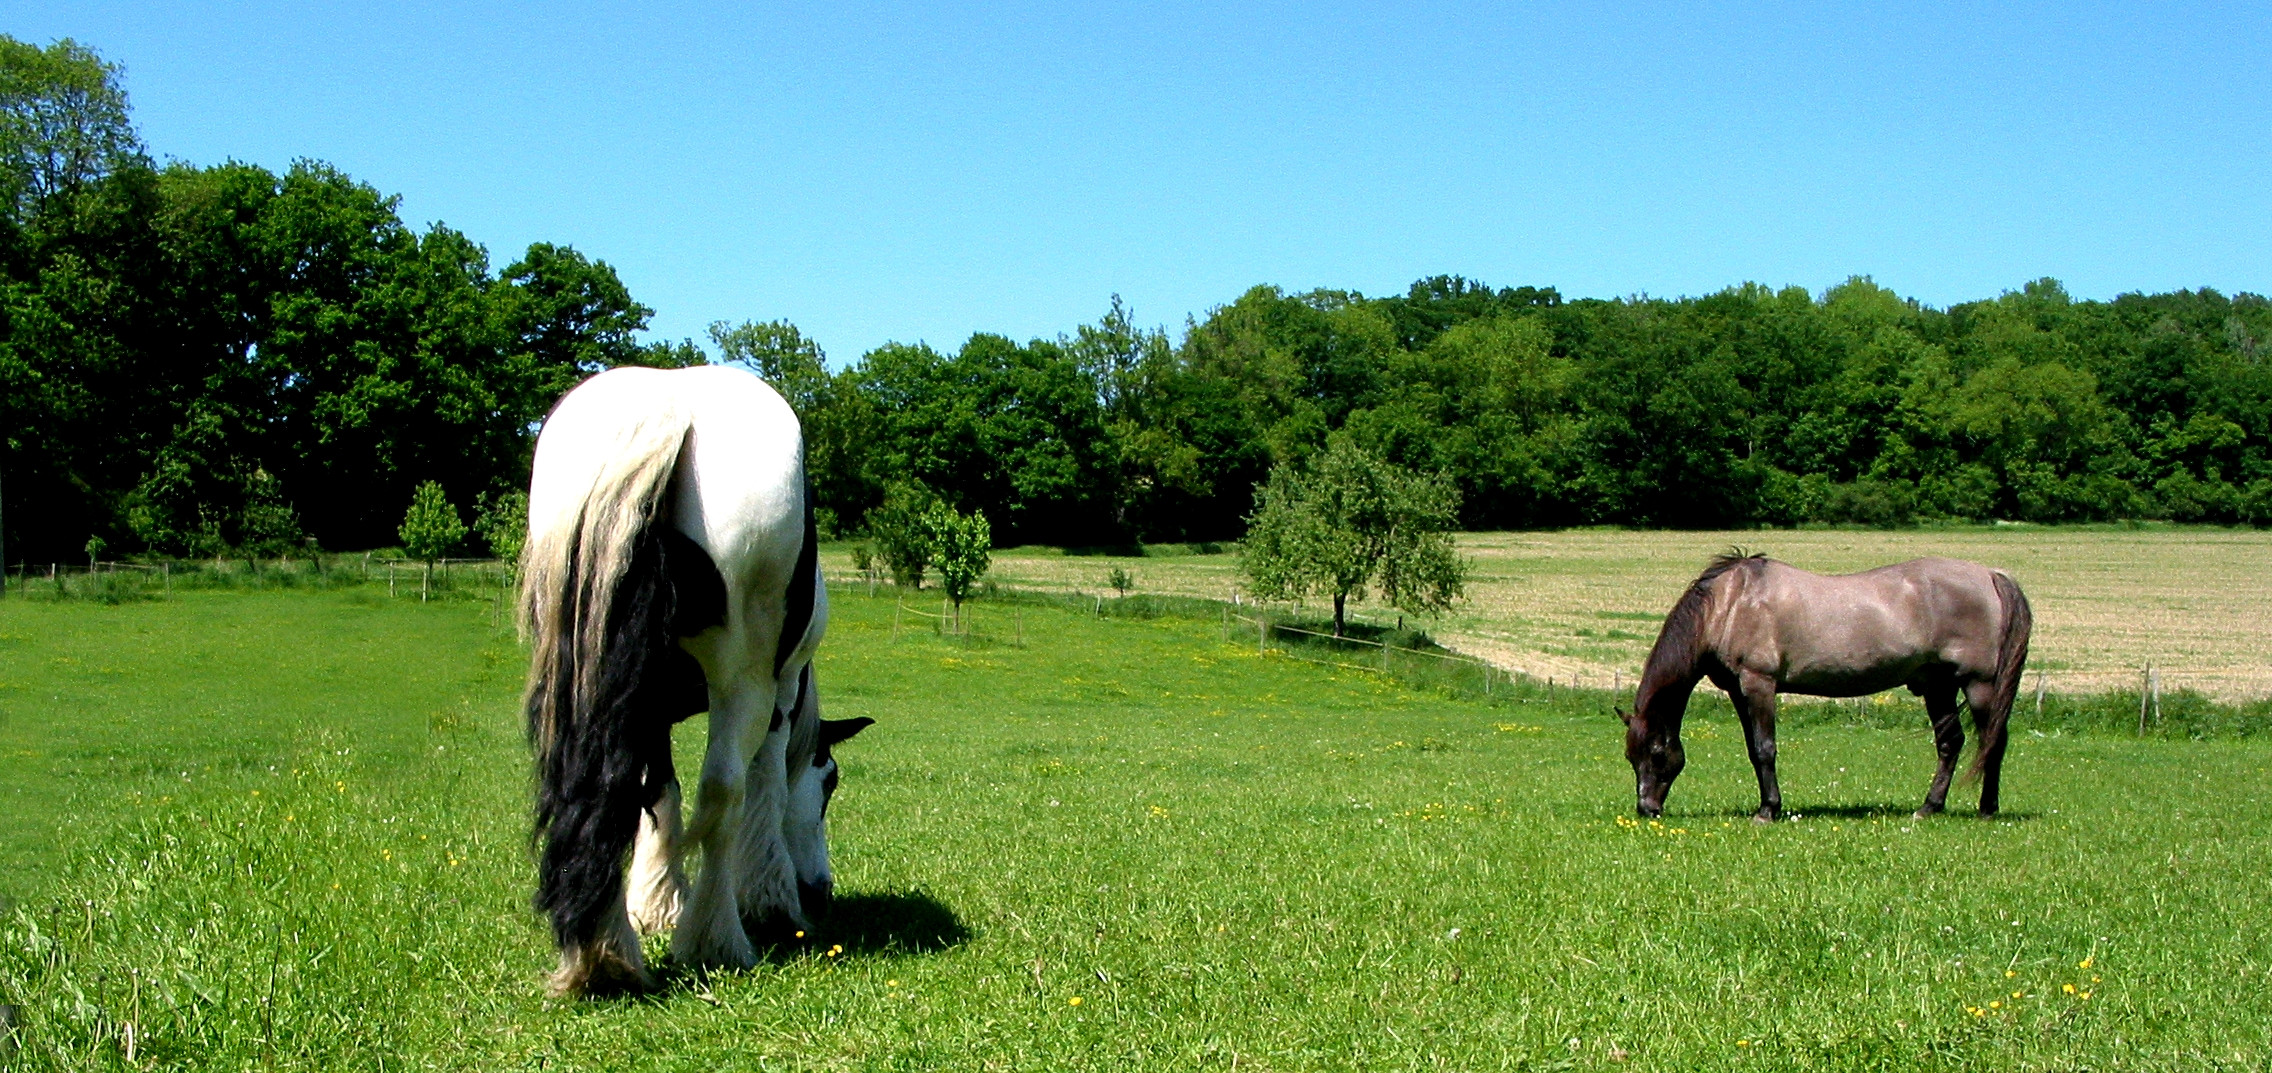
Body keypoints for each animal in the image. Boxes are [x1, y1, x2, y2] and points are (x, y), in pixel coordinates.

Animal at [520, 366, 872, 995]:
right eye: (830, 781)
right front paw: (768, 898)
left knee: (600, 790)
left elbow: (658, 795)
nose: (820, 891)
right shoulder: (779, 696)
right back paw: (716, 938)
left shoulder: (649, 708)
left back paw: (604, 951)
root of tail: (667, 405)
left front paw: (657, 903)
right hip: (743, 685)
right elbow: (761, 788)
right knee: (723, 790)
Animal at [1626, 552, 2035, 822]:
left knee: (1993, 741)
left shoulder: (1759, 684)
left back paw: (1986, 809)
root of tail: (1991, 575)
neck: (1728, 605)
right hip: (1938, 686)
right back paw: (1929, 807)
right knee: (1951, 743)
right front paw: (1766, 804)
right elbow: (1754, 751)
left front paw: (1769, 810)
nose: (1647, 809)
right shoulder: (1740, 692)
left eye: (1657, 754)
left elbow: (1765, 749)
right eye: (1631, 758)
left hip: (1979, 685)